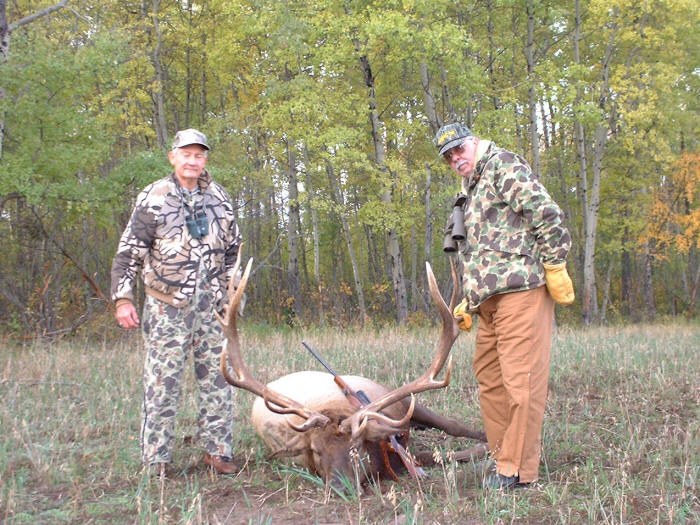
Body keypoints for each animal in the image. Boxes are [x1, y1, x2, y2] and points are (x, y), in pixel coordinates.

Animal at [217, 254, 487, 488]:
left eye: (355, 448)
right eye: (315, 450)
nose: (340, 487)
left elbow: (452, 437)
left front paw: (487, 443)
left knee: (452, 425)